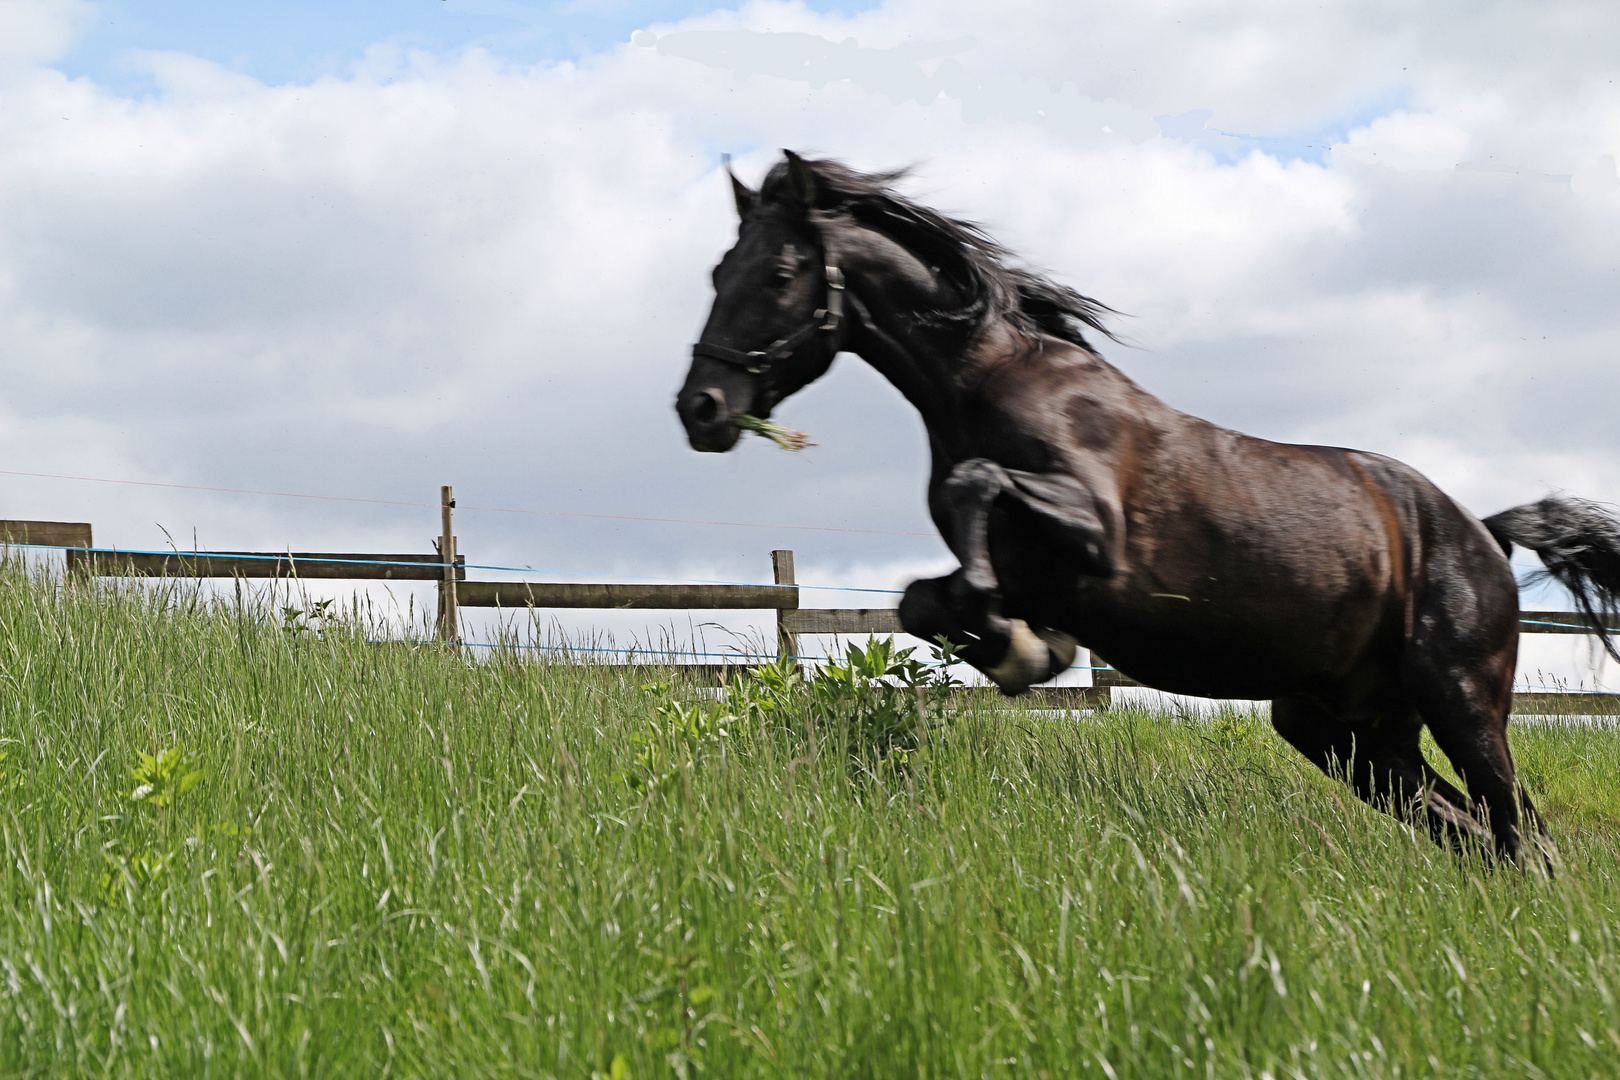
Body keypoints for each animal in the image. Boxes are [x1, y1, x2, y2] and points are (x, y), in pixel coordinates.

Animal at [673, 152, 1620, 867]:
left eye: (781, 272)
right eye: (717, 270)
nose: (702, 409)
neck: (991, 379)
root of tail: (1483, 536)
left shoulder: (1097, 532)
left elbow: (974, 486)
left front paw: (1026, 648)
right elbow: (924, 600)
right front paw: (1024, 647)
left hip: (1462, 702)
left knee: (1520, 833)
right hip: (1347, 733)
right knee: (1475, 835)